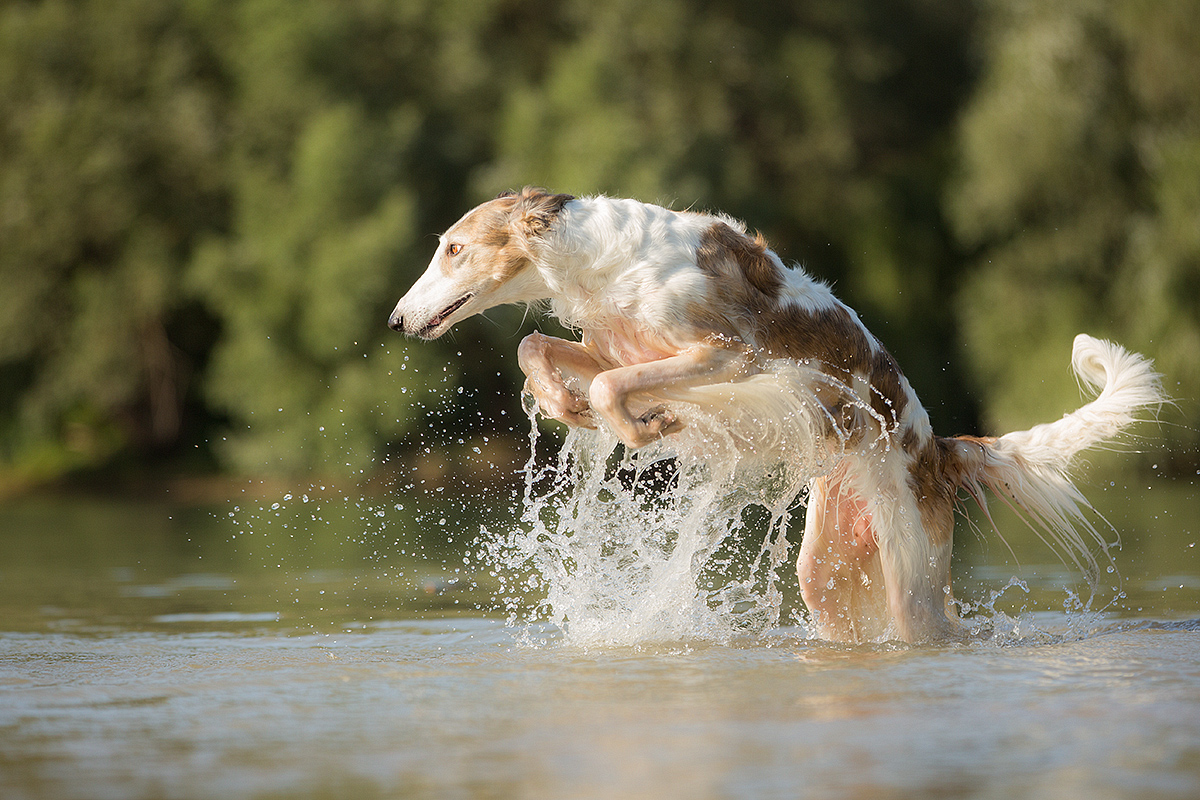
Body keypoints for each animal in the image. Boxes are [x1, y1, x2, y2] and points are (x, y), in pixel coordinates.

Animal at [386, 188, 1161, 642]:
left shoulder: (730, 356)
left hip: (910, 579)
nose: (395, 320)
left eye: (454, 249)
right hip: (828, 568)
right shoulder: (615, 344)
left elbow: (609, 387)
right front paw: (566, 402)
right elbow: (537, 348)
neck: (602, 256)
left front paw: (643, 424)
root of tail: (938, 448)